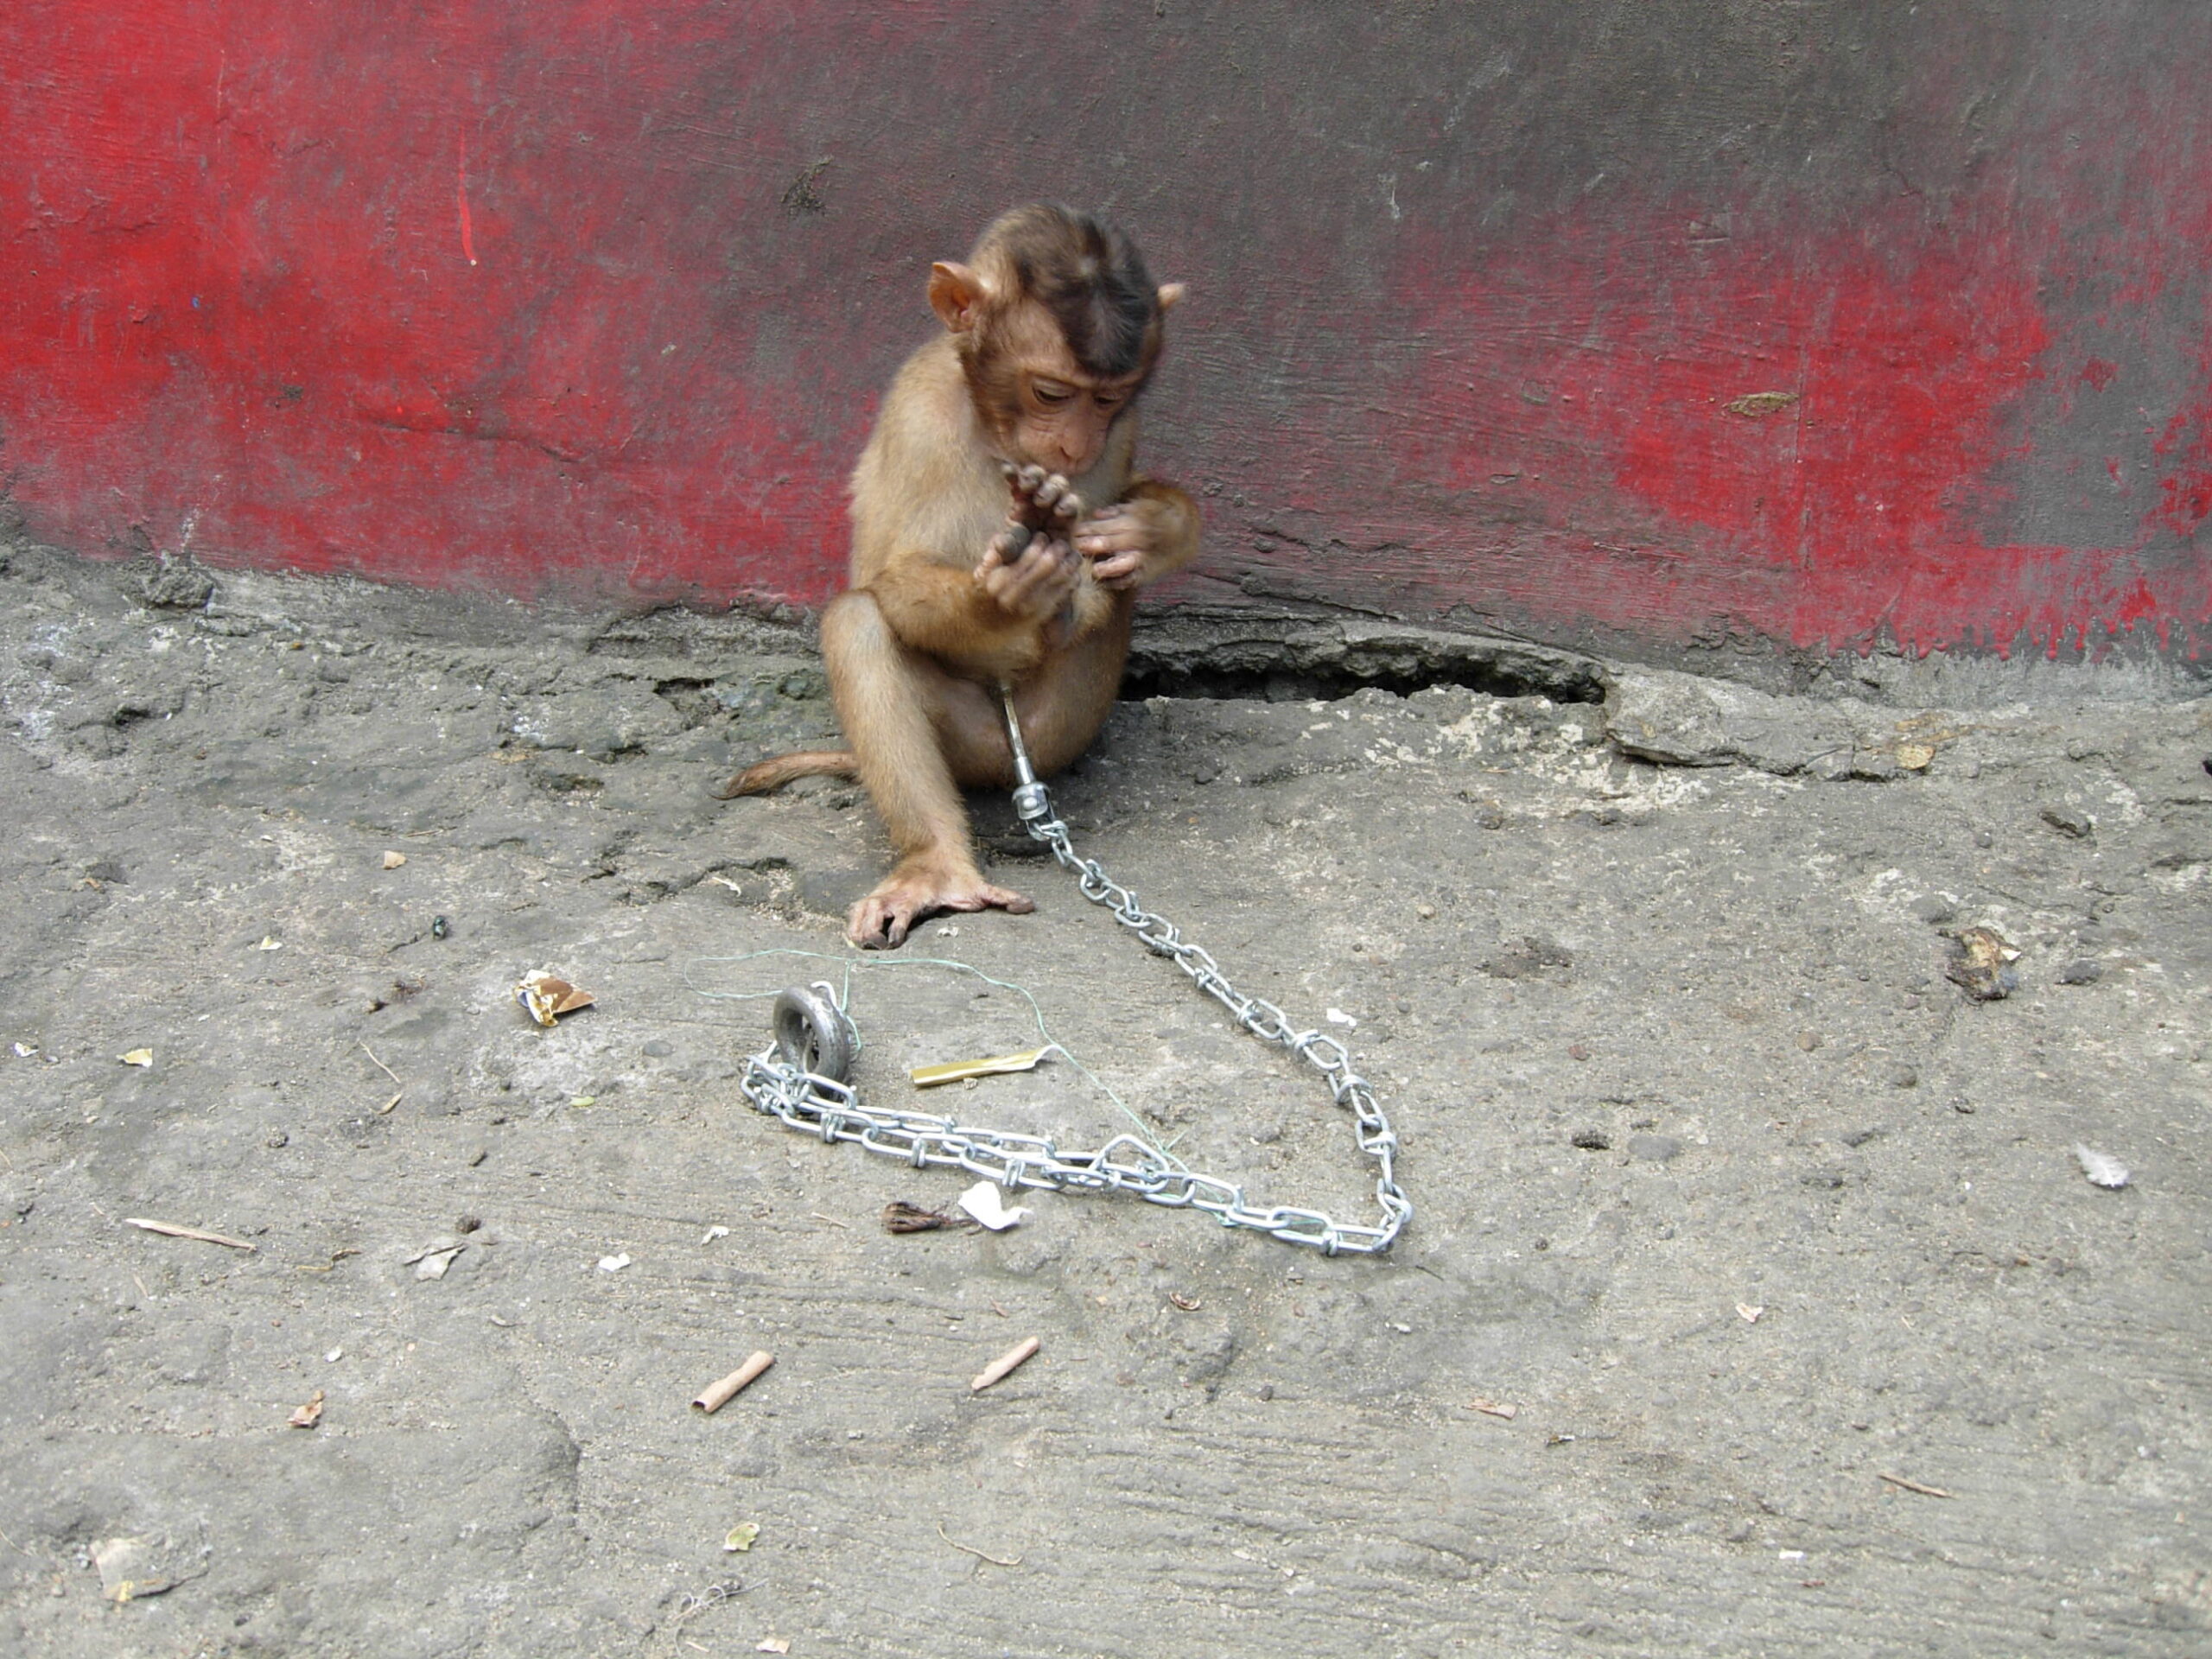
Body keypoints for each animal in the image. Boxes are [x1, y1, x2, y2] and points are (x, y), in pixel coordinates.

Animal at [718, 203, 1199, 949]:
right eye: (1051, 392)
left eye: (1107, 400)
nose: (1075, 445)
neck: (994, 425)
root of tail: (1017, 769)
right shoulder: (920, 411)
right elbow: (890, 572)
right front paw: (1003, 597)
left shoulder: (1126, 429)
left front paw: (1149, 530)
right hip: (972, 745)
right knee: (857, 618)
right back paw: (937, 865)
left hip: (1063, 725)